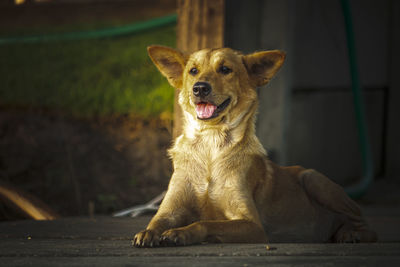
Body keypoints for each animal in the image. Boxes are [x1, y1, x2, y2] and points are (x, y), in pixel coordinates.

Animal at [133, 45, 376, 248]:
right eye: (193, 71)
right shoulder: (170, 210)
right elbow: (156, 222)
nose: (199, 88)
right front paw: (149, 232)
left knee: (364, 223)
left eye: (225, 69)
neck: (210, 145)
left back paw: (350, 233)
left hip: (313, 178)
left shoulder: (251, 224)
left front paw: (180, 233)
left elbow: (207, 223)